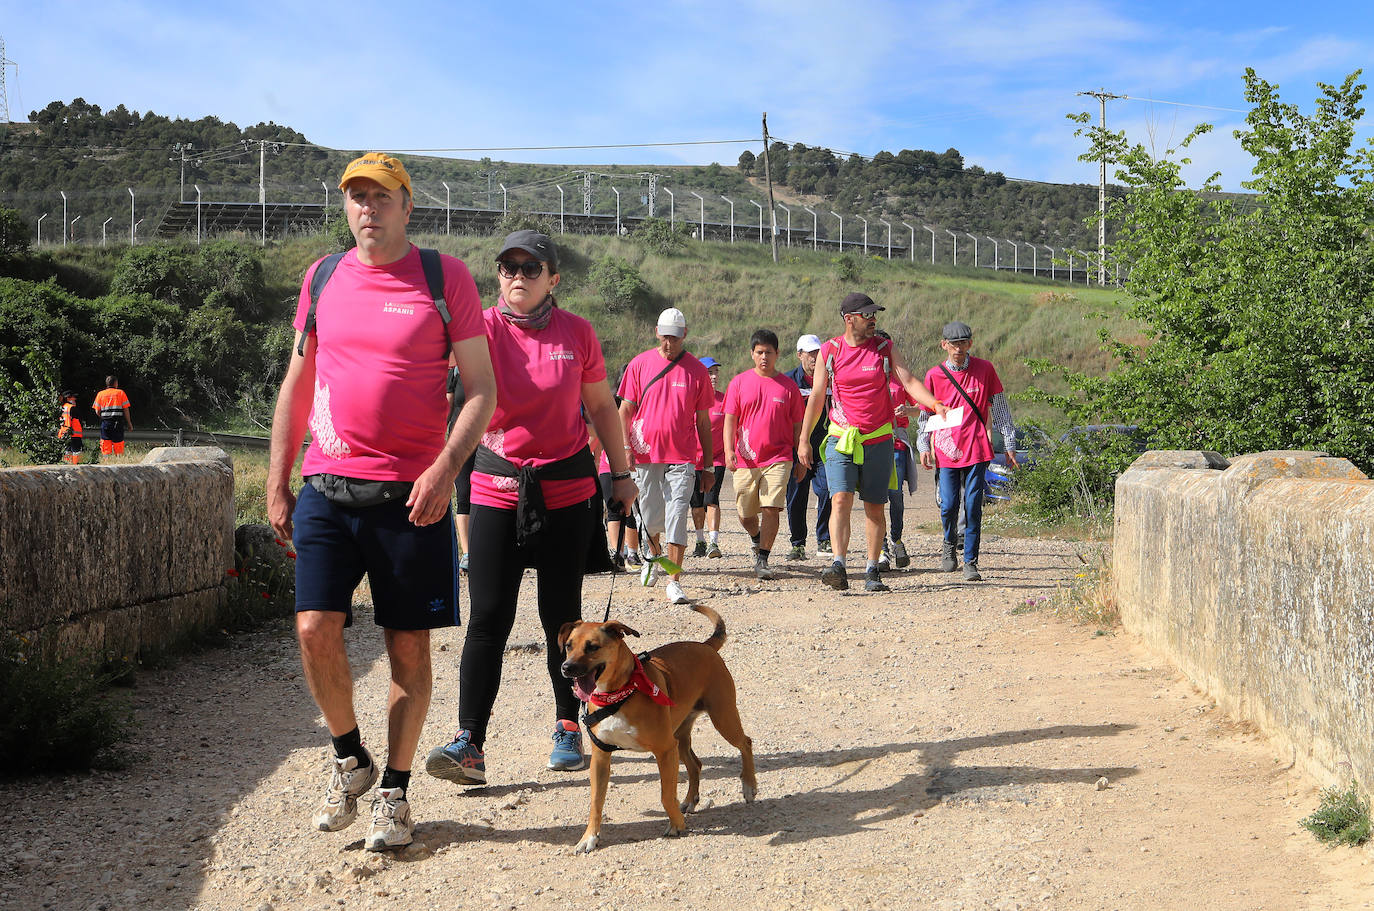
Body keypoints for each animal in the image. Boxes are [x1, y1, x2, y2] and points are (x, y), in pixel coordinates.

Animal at [552, 604, 758, 857]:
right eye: (569, 646)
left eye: (592, 647)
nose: (566, 667)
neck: (620, 694)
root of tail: (705, 646)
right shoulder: (601, 756)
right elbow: (596, 802)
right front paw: (589, 838)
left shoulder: (664, 750)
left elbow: (666, 795)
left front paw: (677, 825)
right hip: (680, 737)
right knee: (696, 765)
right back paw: (690, 800)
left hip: (722, 718)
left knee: (745, 743)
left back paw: (749, 786)